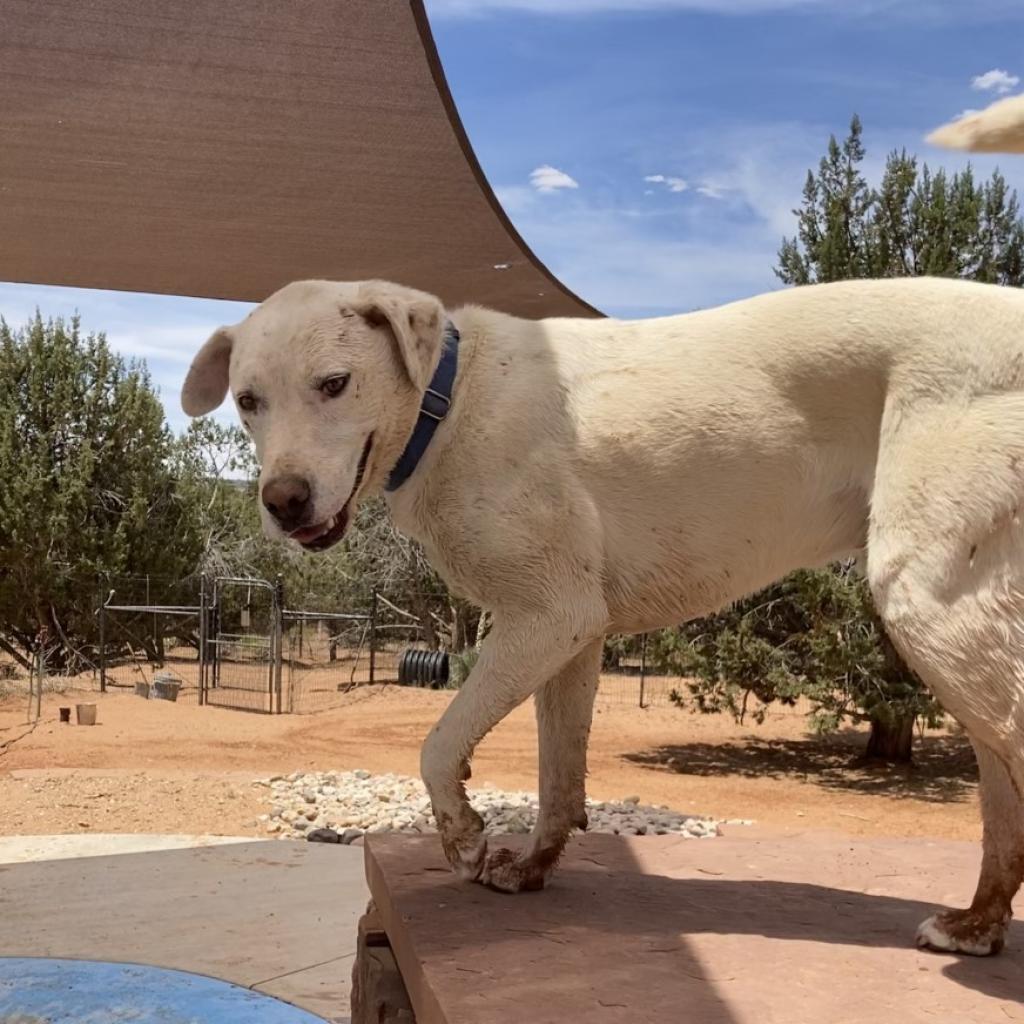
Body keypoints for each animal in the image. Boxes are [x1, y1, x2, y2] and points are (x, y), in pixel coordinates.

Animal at [180, 99, 1024, 954]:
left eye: (335, 383)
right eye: (248, 401)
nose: (283, 501)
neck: (453, 399)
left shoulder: (547, 616)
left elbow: (440, 741)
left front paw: (463, 836)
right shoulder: (575, 635)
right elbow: (558, 776)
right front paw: (530, 867)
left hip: (932, 605)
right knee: (1002, 792)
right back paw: (977, 921)